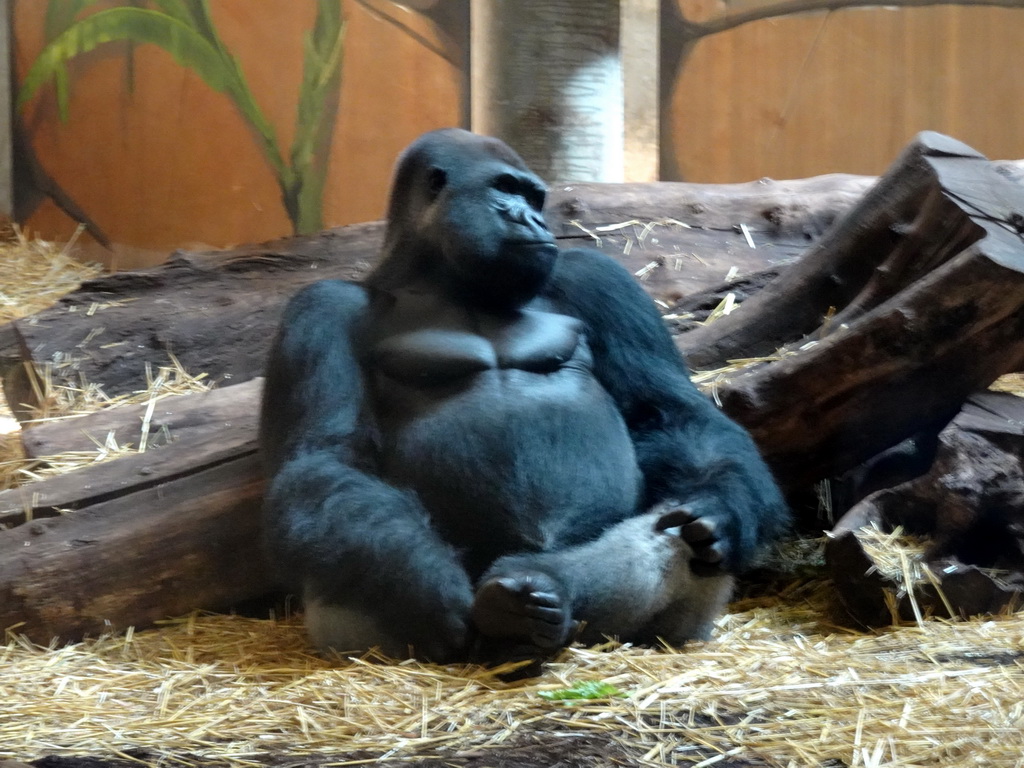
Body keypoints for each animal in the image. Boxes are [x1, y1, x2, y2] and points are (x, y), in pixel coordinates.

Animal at [258, 129, 790, 663]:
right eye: (505, 189)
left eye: (535, 198)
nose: (534, 220)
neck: (446, 280)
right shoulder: (320, 309)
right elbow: (325, 457)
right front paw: (428, 584)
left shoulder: (601, 279)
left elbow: (666, 412)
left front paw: (720, 510)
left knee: (677, 539)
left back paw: (540, 591)